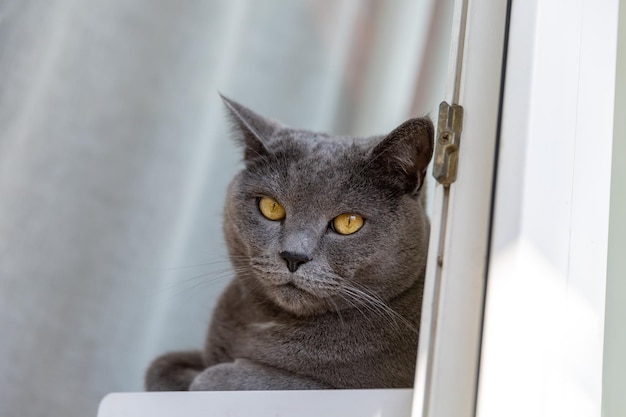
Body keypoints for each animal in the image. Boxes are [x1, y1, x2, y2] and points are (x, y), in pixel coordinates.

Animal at [144, 95, 432, 390]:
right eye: (271, 207)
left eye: (349, 222)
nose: (294, 256)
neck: (268, 323)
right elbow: (159, 364)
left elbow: (222, 377)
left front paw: (204, 377)